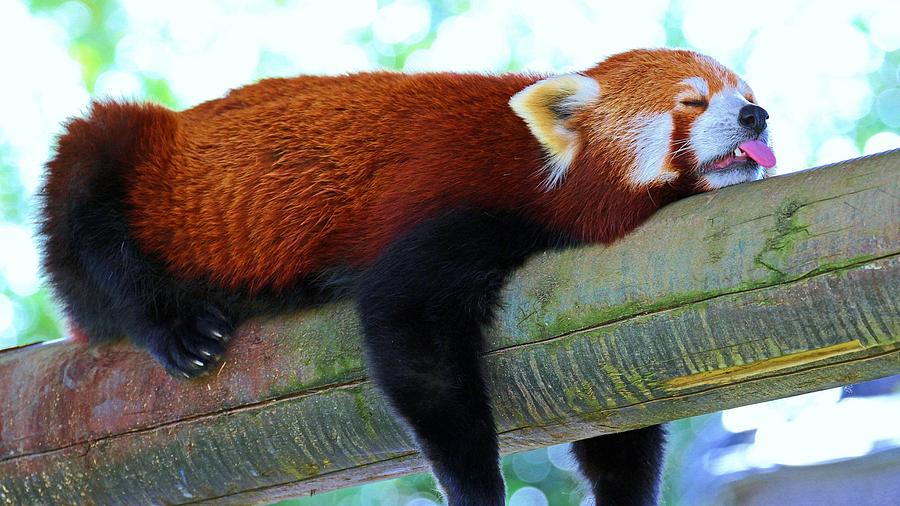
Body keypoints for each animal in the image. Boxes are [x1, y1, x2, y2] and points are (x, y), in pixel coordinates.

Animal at [40, 48, 772, 506]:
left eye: (747, 95)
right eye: (692, 102)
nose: (756, 116)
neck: (538, 166)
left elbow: (612, 404)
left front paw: (625, 492)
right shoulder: (452, 203)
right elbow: (411, 337)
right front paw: (476, 489)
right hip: (126, 166)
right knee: (92, 208)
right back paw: (173, 325)